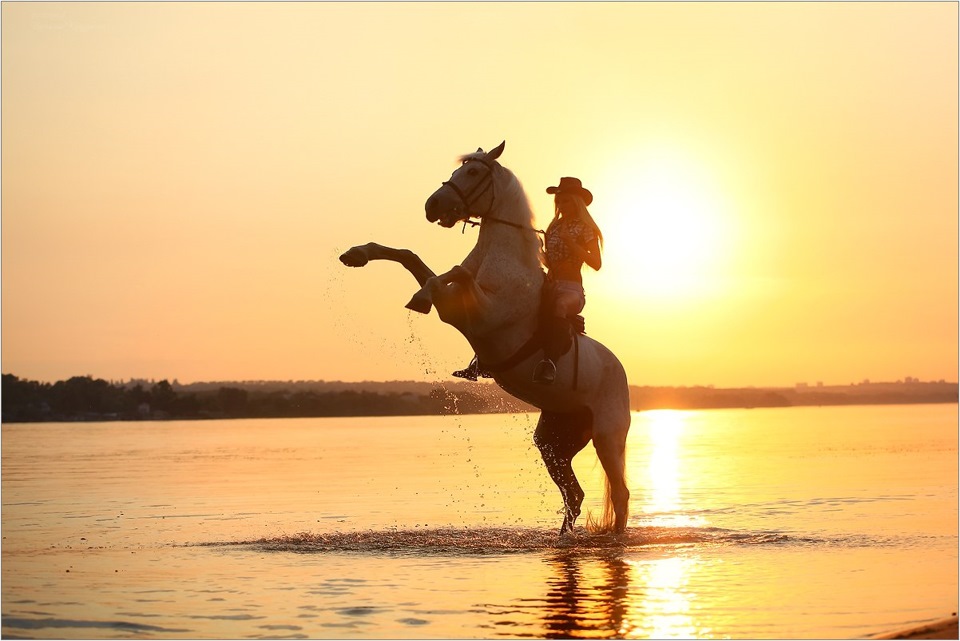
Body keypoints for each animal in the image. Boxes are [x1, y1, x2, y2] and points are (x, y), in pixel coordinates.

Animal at [338, 141, 632, 536]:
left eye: (474, 172)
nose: (432, 206)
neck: (503, 260)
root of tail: (619, 371)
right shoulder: (456, 305)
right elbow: (413, 257)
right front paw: (358, 254)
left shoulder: (475, 313)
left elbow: (451, 274)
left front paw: (420, 298)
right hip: (555, 440)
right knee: (574, 494)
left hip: (607, 436)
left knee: (619, 493)